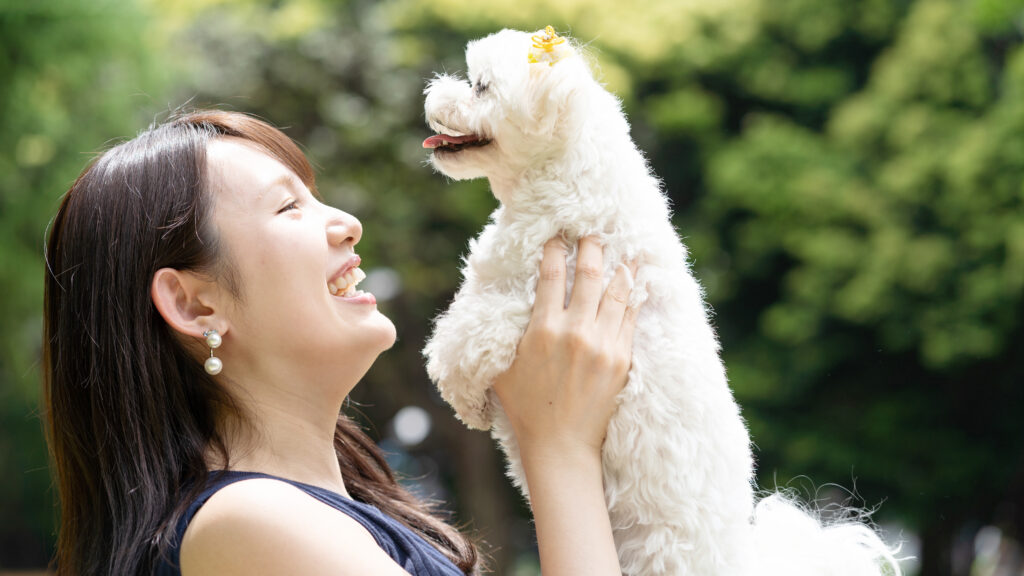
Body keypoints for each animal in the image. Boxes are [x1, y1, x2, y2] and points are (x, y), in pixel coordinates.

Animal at [419, 26, 901, 573]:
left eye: (480, 86)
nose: (433, 91)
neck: (568, 184)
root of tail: (739, 557)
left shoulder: (529, 300)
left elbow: (460, 341)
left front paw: (465, 400)